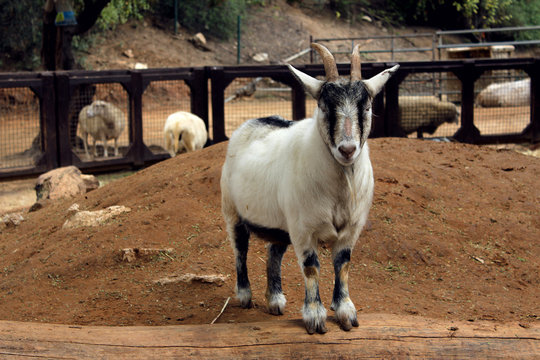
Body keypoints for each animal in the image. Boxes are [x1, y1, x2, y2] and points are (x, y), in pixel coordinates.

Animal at [220, 43, 400, 334]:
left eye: (367, 106)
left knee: (273, 252)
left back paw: (275, 300)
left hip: (280, 223)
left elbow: (343, 265)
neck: (339, 191)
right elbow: (311, 267)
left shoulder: (351, 228)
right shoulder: (304, 229)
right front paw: (315, 316)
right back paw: (245, 295)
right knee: (240, 249)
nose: (347, 149)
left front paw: (345, 311)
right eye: (324, 106)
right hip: (232, 211)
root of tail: (255, 121)